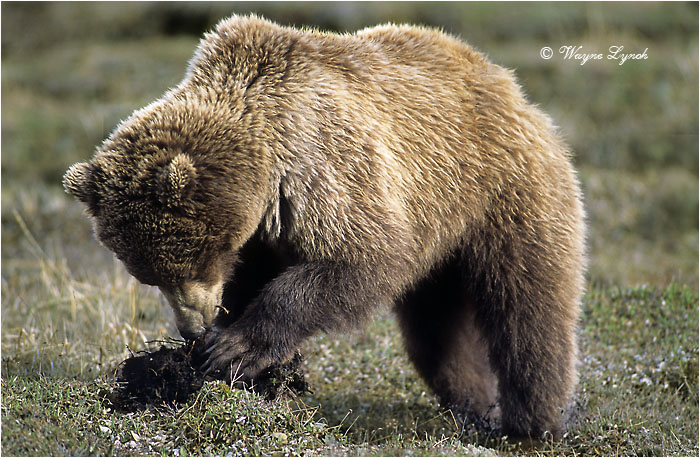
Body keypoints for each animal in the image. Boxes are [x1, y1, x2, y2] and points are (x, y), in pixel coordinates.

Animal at [63, 14, 586, 440]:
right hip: (441, 231)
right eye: (148, 277)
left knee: (529, 306)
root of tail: (509, 85)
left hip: (504, 191)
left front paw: (235, 349)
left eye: (189, 264)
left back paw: (532, 420)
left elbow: (360, 255)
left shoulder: (321, 165)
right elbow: (256, 276)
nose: (193, 329)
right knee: (436, 330)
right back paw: (470, 403)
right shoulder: (262, 232)